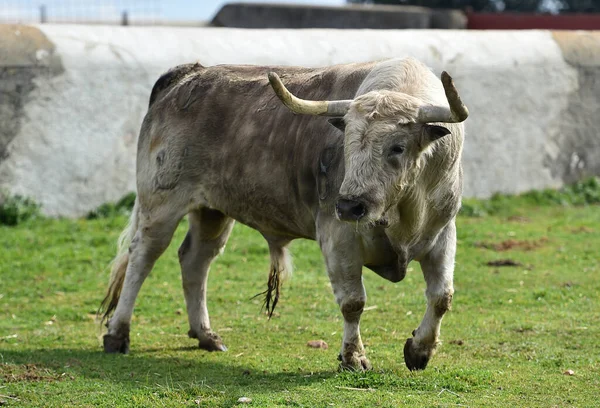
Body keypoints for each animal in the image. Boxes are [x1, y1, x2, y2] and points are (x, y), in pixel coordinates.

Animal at [99, 57, 468, 372]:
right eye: (346, 145)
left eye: (397, 147)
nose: (350, 205)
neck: (405, 209)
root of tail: (188, 75)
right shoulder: (338, 237)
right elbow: (353, 302)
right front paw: (353, 358)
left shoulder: (442, 233)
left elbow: (442, 297)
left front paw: (419, 351)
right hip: (160, 204)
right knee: (142, 258)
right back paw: (118, 334)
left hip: (212, 211)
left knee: (195, 261)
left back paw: (205, 335)